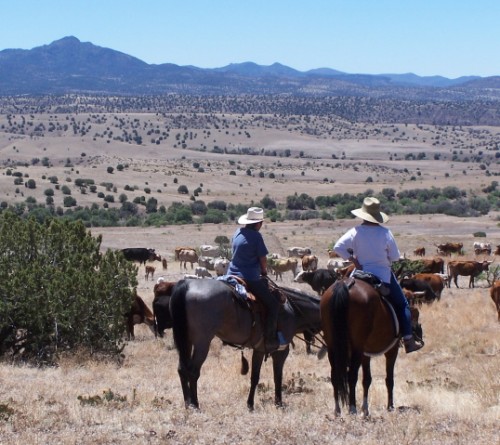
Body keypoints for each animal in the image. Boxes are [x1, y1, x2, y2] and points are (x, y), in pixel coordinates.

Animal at [168, 278, 322, 410]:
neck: (292, 310)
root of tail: (187, 285)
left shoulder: (259, 350)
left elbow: (254, 377)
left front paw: (250, 404)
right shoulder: (281, 352)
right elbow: (277, 377)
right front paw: (278, 403)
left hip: (186, 342)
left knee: (182, 369)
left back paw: (187, 403)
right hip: (202, 343)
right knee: (193, 371)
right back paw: (195, 404)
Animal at [320, 278, 422, 416]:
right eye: (415, 311)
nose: (418, 330)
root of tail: (346, 284)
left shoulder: (365, 354)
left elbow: (366, 380)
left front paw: (365, 409)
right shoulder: (392, 350)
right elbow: (389, 379)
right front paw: (390, 406)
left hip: (333, 347)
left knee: (335, 375)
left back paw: (337, 410)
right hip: (356, 348)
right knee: (352, 375)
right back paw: (352, 408)